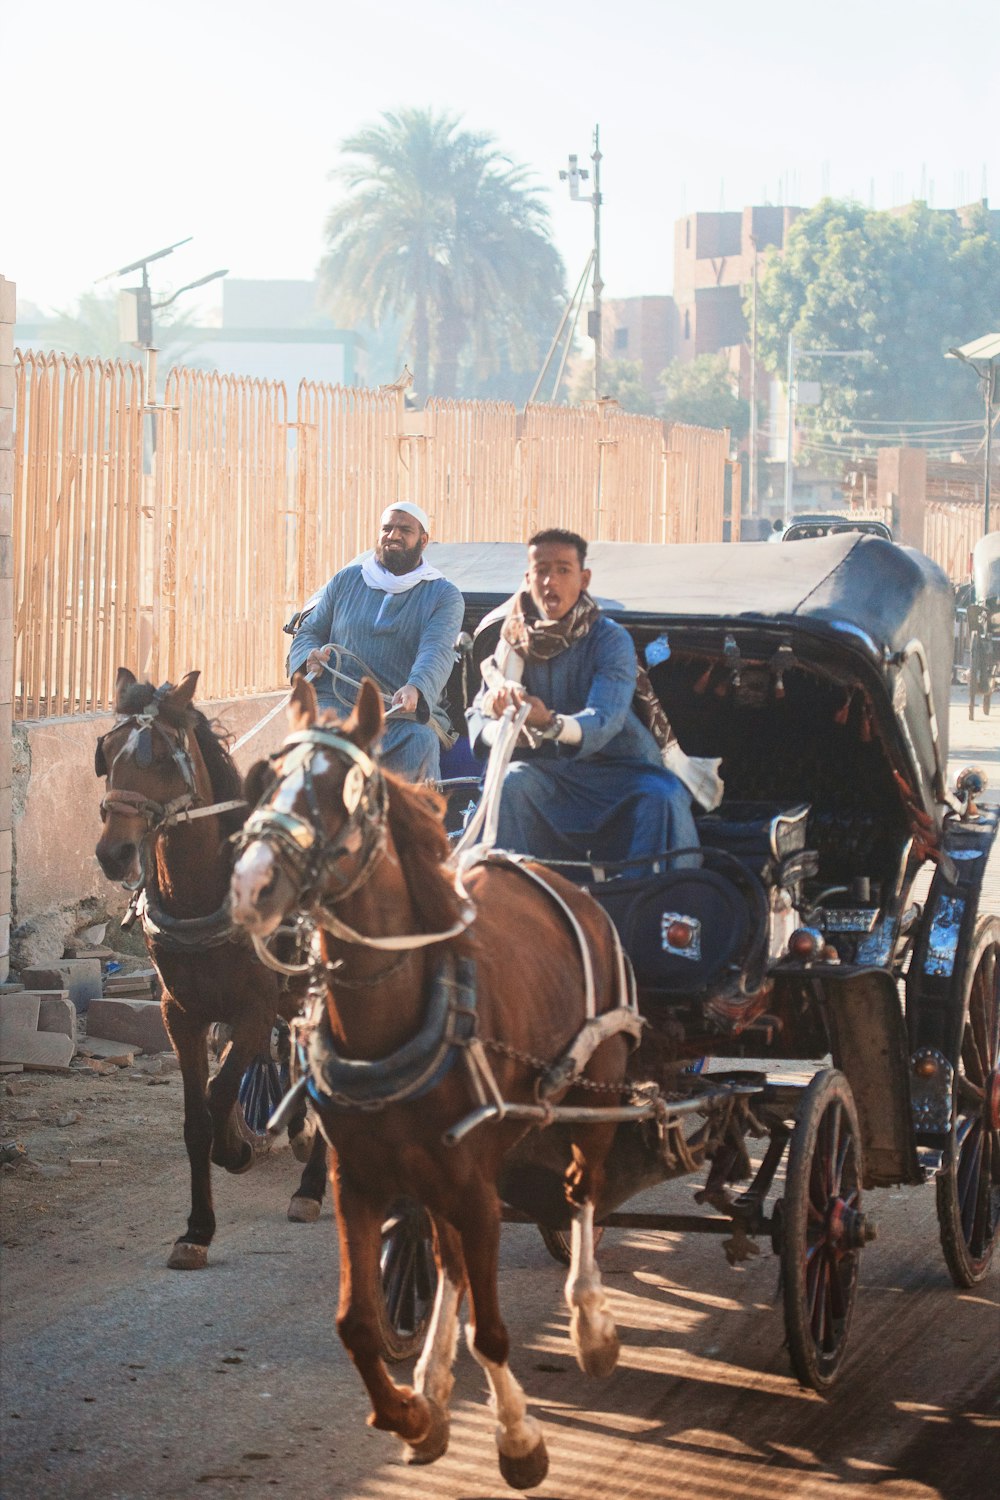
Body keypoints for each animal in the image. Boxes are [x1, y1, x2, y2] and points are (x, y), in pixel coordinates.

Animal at [96, 675, 326, 1272]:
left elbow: (222, 1092)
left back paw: (311, 1186)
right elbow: (195, 1119)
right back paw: (298, 1134)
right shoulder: (180, 1014)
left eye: (157, 758)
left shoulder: (253, 1011)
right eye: (107, 754)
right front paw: (197, 1230)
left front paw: (237, 1150)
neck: (206, 896)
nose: (114, 854)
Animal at [229, 681, 638, 1488]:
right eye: (268, 780)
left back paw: (589, 1323)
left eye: (344, 793)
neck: (396, 1023)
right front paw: (412, 1414)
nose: (250, 885)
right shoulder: (358, 1179)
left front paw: (518, 1439)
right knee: (447, 1255)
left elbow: (496, 1333)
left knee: (583, 1192)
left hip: (594, 1094)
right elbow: (357, 1323)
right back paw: (433, 1377)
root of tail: (564, 882)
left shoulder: (477, 1185)